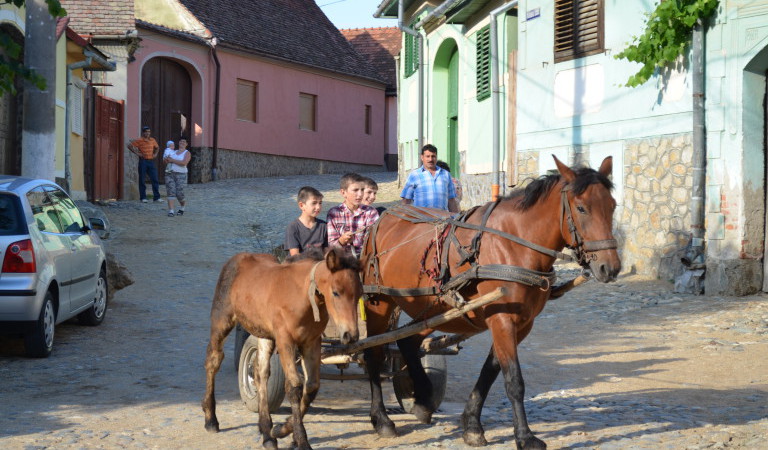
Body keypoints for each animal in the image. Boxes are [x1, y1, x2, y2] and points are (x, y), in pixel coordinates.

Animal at [202, 248, 362, 448]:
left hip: (265, 335)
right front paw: (301, 440)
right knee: (213, 360)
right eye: (336, 292)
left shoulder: (311, 342)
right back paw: (211, 419)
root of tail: (237, 259)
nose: (351, 335)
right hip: (222, 320)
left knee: (260, 373)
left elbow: (311, 386)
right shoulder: (285, 340)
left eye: (360, 294)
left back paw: (267, 434)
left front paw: (281, 430)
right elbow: (294, 386)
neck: (303, 296)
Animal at [360, 156, 616, 448]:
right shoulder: (502, 319)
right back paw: (381, 419)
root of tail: (383, 218)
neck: (514, 245)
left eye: (613, 206)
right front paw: (525, 436)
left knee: (408, 342)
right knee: (373, 354)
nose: (610, 267)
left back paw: (422, 398)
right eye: (582, 208)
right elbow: (513, 380)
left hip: (435, 308)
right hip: (380, 303)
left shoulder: (521, 324)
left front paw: (472, 424)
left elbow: (490, 371)